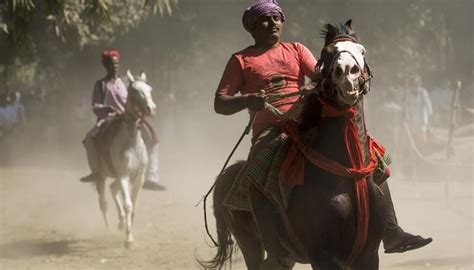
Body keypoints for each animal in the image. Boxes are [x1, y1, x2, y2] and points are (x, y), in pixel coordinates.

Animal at [95, 69, 156, 249]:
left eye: (149, 89)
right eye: (135, 91)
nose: (151, 108)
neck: (131, 142)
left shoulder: (139, 177)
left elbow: (133, 206)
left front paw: (127, 229)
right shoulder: (124, 176)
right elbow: (128, 205)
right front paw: (128, 239)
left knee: (113, 189)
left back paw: (121, 222)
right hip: (100, 175)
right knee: (103, 202)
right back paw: (108, 229)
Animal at [202, 20, 386, 268]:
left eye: (362, 50)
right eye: (326, 53)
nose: (347, 72)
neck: (344, 176)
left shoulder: (368, 254)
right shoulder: (323, 255)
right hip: (250, 243)